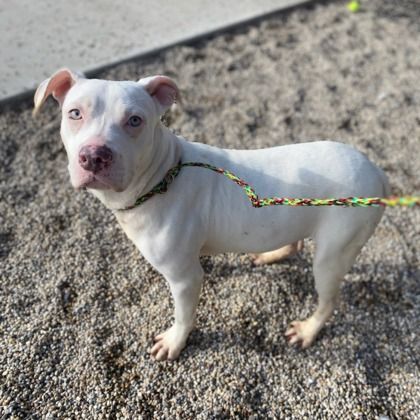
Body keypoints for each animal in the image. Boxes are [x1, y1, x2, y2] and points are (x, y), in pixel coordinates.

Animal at [34, 69, 388, 360]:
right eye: (74, 113)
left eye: (135, 120)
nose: (94, 155)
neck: (163, 176)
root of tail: (377, 171)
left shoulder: (185, 278)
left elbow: (184, 315)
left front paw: (174, 342)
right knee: (295, 241)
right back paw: (272, 255)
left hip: (333, 254)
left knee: (329, 301)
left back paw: (308, 330)